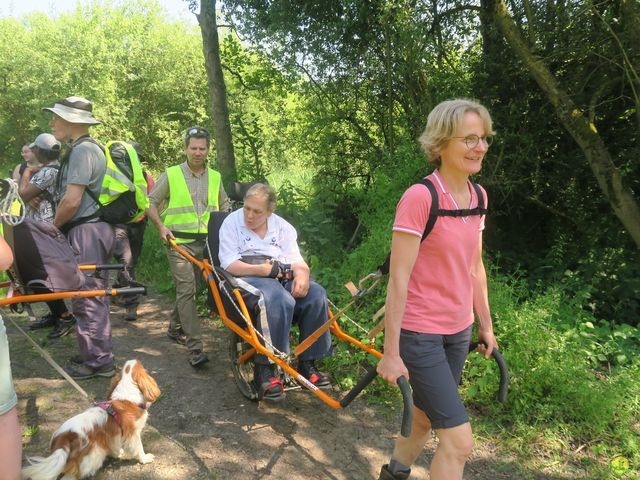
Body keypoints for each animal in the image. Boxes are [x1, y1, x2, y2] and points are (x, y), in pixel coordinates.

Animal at [22, 360, 162, 480]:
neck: (125, 398)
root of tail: (65, 437)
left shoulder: (113, 436)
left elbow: (115, 446)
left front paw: (118, 453)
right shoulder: (133, 434)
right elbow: (139, 448)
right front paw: (145, 459)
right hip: (92, 456)